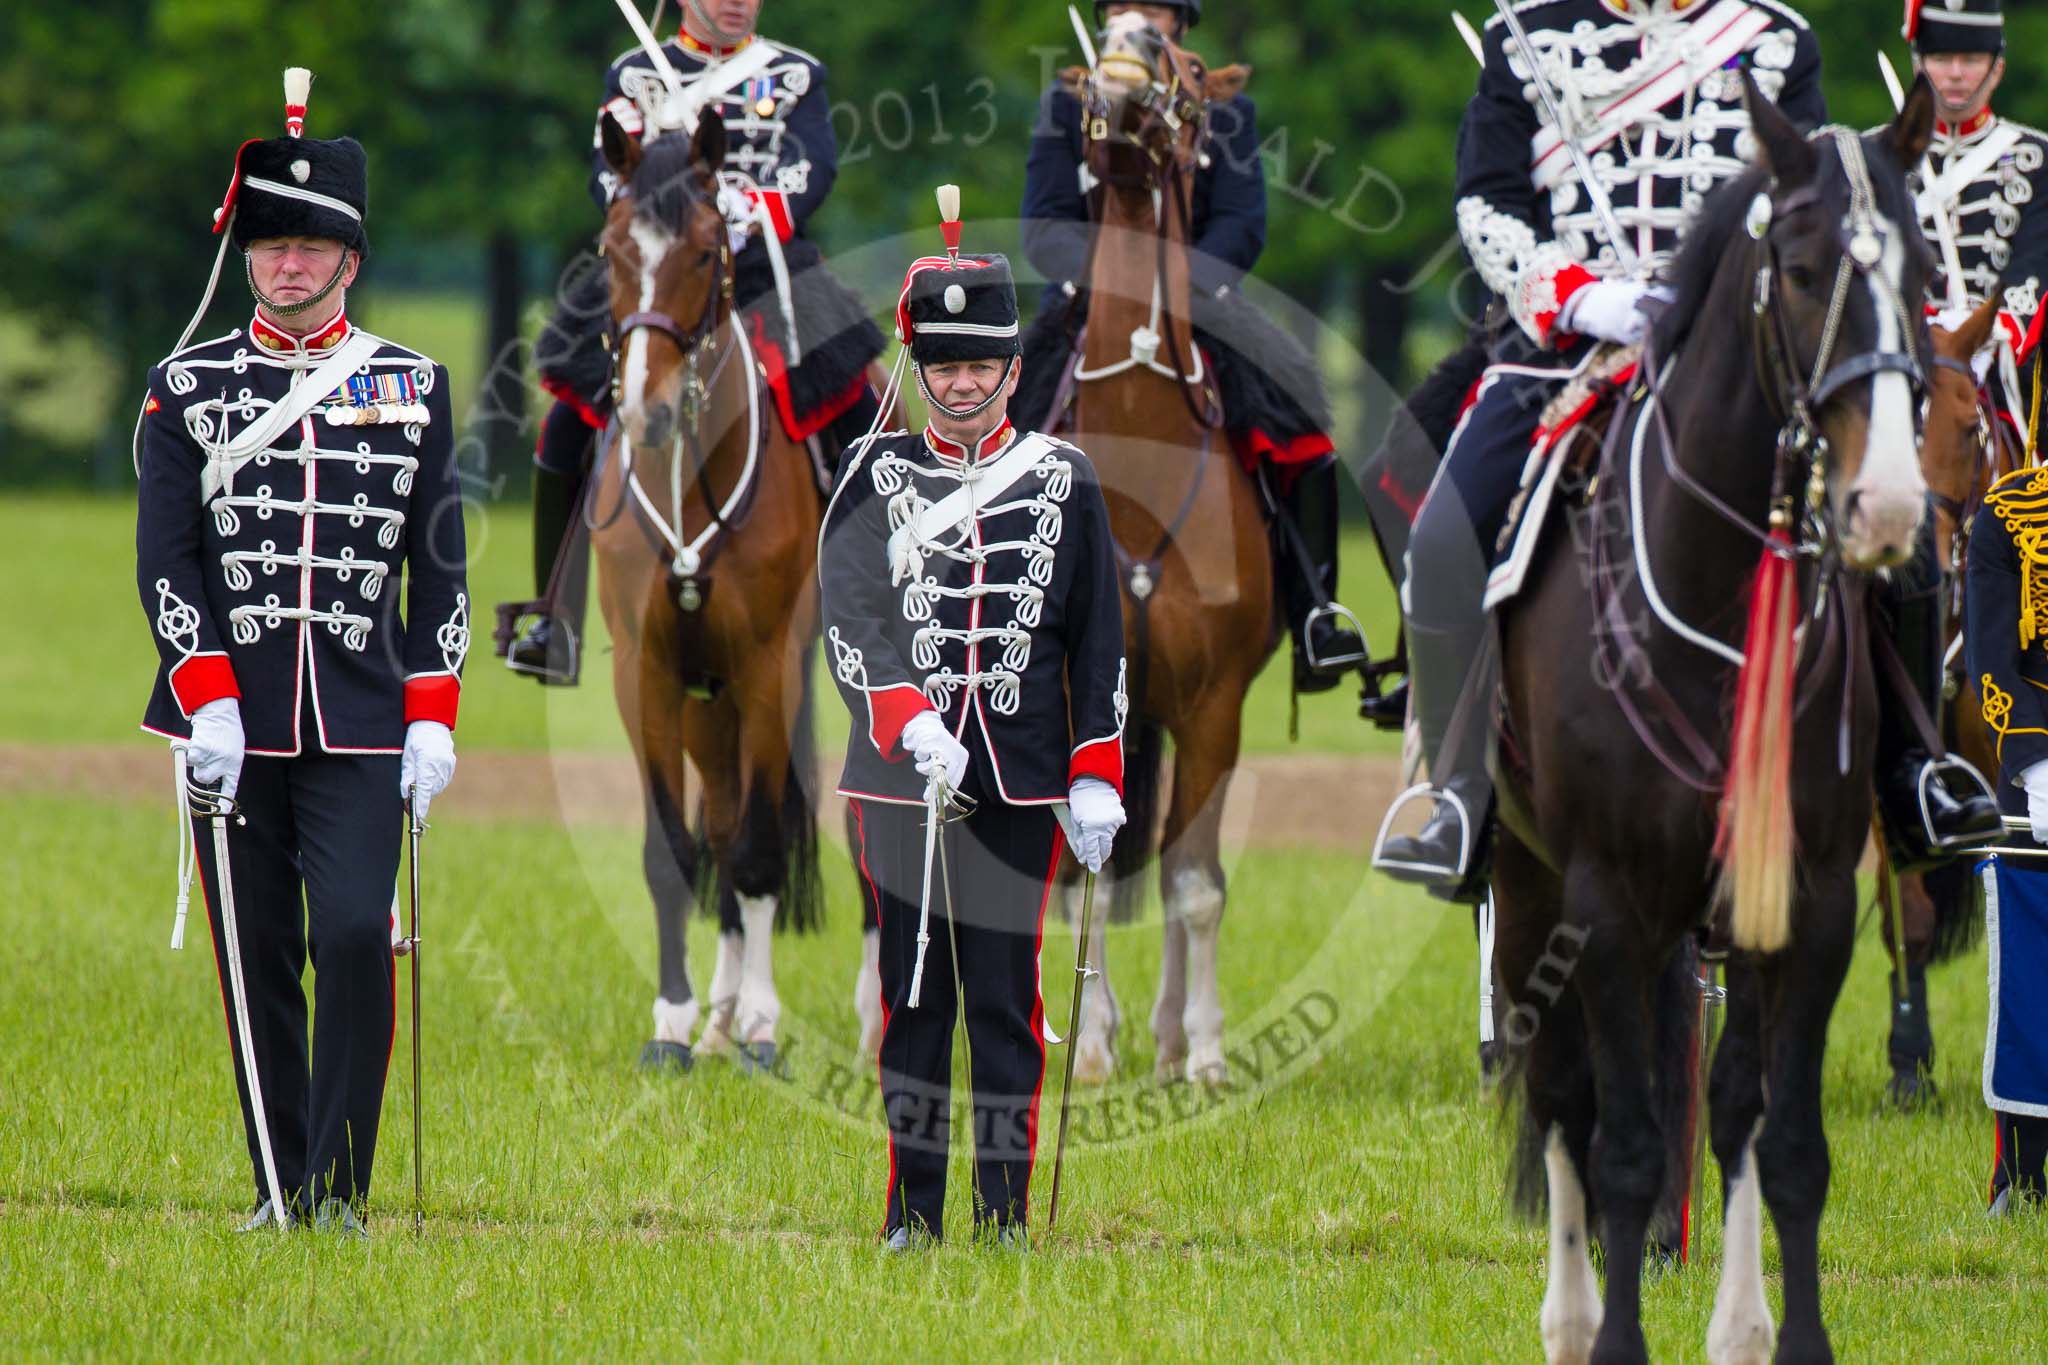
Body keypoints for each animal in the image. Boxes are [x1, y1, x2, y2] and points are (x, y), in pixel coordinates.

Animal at [1490, 80, 1933, 1358]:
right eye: (1799, 269)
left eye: (1923, 270)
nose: (1889, 504)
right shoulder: (1604, 900)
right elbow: (1628, 1148)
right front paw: (1613, 1340)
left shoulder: (1809, 900)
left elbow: (1779, 1142)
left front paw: (1784, 1337)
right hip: (1529, 887)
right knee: (1562, 1098)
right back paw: (1567, 1319)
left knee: (1720, 1107)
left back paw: (1729, 1321)